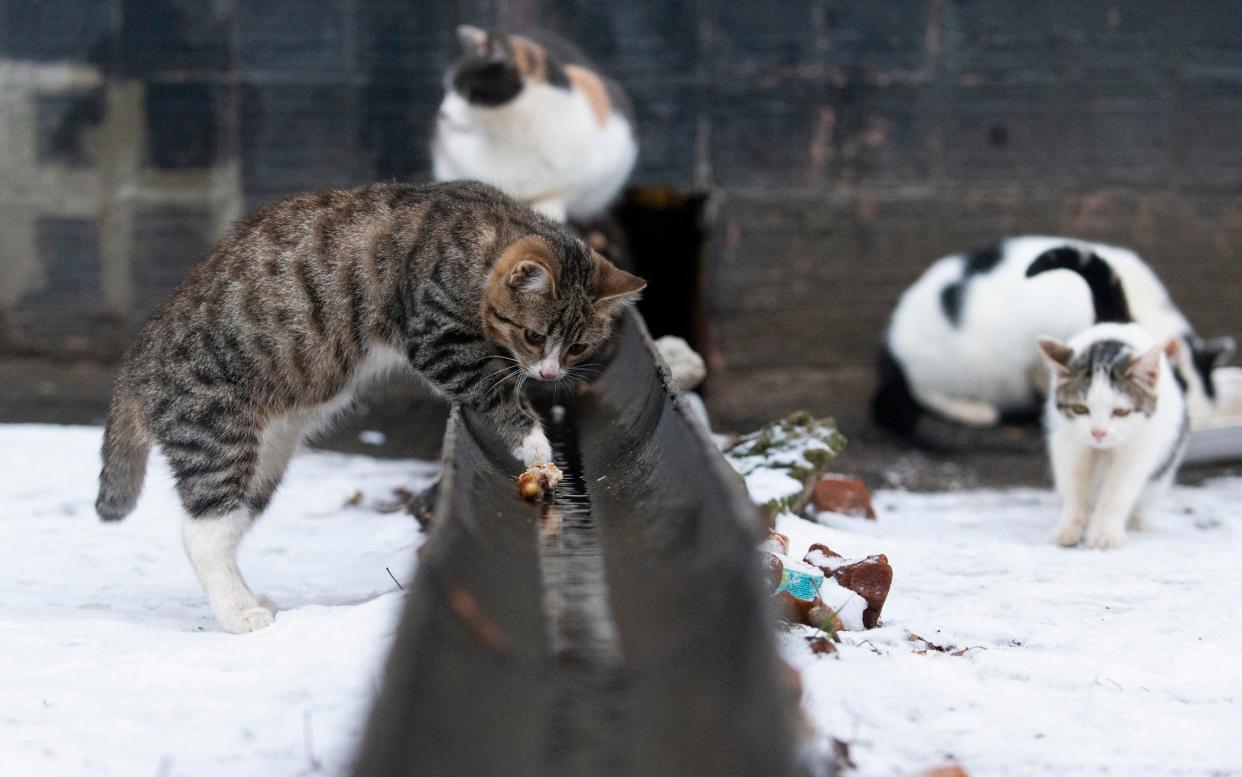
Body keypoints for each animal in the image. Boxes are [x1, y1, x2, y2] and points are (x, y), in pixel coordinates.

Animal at [91, 179, 645, 630]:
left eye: (577, 347)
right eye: (533, 335)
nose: (550, 374)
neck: (484, 235)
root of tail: (135, 365)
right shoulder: (435, 337)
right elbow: (492, 389)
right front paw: (535, 445)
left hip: (265, 458)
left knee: (228, 524)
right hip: (215, 432)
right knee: (202, 535)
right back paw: (239, 613)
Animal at [429, 24, 640, 222]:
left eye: (467, 91)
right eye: (448, 89)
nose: (442, 113)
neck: (513, 133)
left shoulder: (605, 159)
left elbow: (564, 190)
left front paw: (549, 209)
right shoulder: (448, 157)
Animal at [1033, 322, 1187, 548]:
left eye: (1120, 412)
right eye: (1080, 409)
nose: (1098, 432)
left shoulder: (1139, 445)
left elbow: (1118, 490)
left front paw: (1104, 533)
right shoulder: (1067, 439)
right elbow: (1074, 482)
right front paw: (1069, 528)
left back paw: (1139, 520)